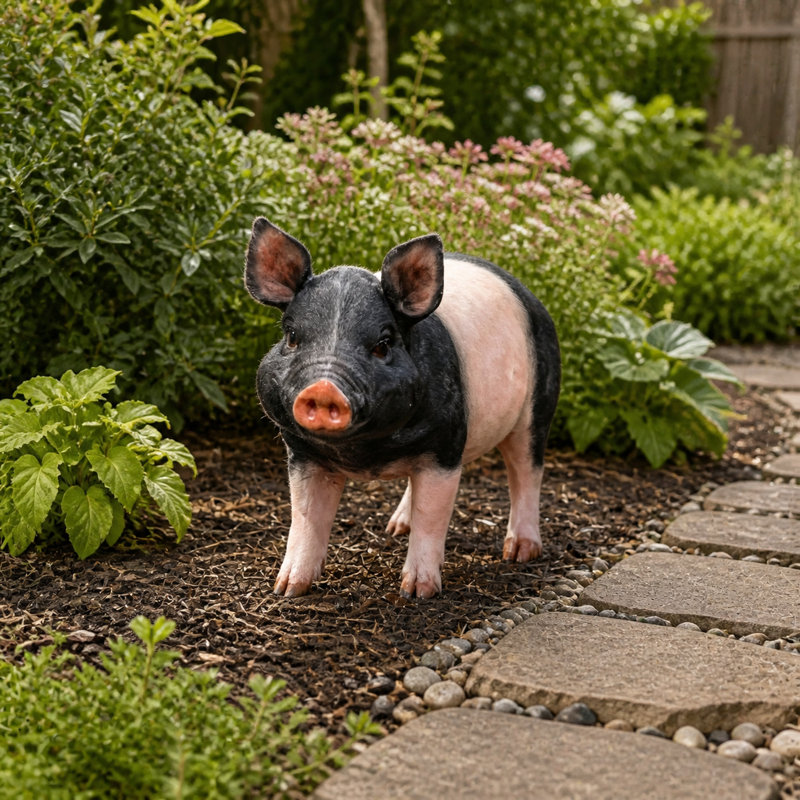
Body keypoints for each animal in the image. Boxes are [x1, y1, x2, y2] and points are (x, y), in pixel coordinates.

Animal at [245, 217, 560, 599]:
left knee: (527, 472)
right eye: (291, 337)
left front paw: (417, 593)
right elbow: (306, 519)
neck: (365, 455)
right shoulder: (303, 454)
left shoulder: (445, 448)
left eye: (383, 344)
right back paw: (395, 529)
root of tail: (526, 291)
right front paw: (286, 589)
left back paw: (520, 553)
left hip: (538, 404)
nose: (323, 389)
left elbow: (433, 517)